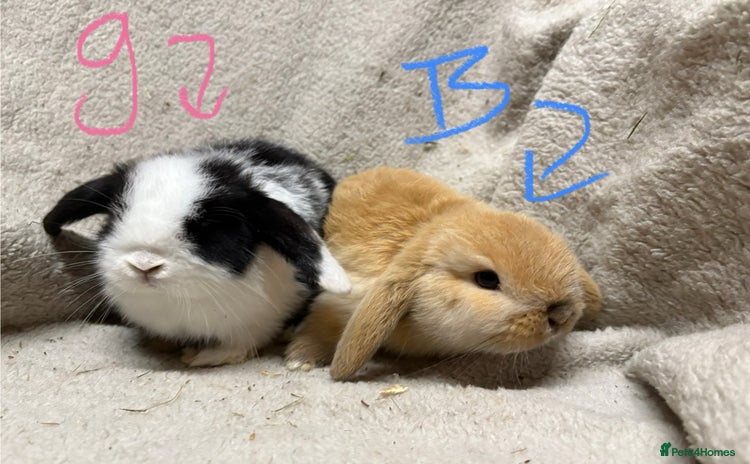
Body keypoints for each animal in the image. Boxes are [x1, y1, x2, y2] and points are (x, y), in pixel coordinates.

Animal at [43, 139, 351, 367]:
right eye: (116, 217)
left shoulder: (255, 324)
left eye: (207, 228)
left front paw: (200, 358)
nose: (144, 264)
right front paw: (161, 344)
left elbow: (237, 347)